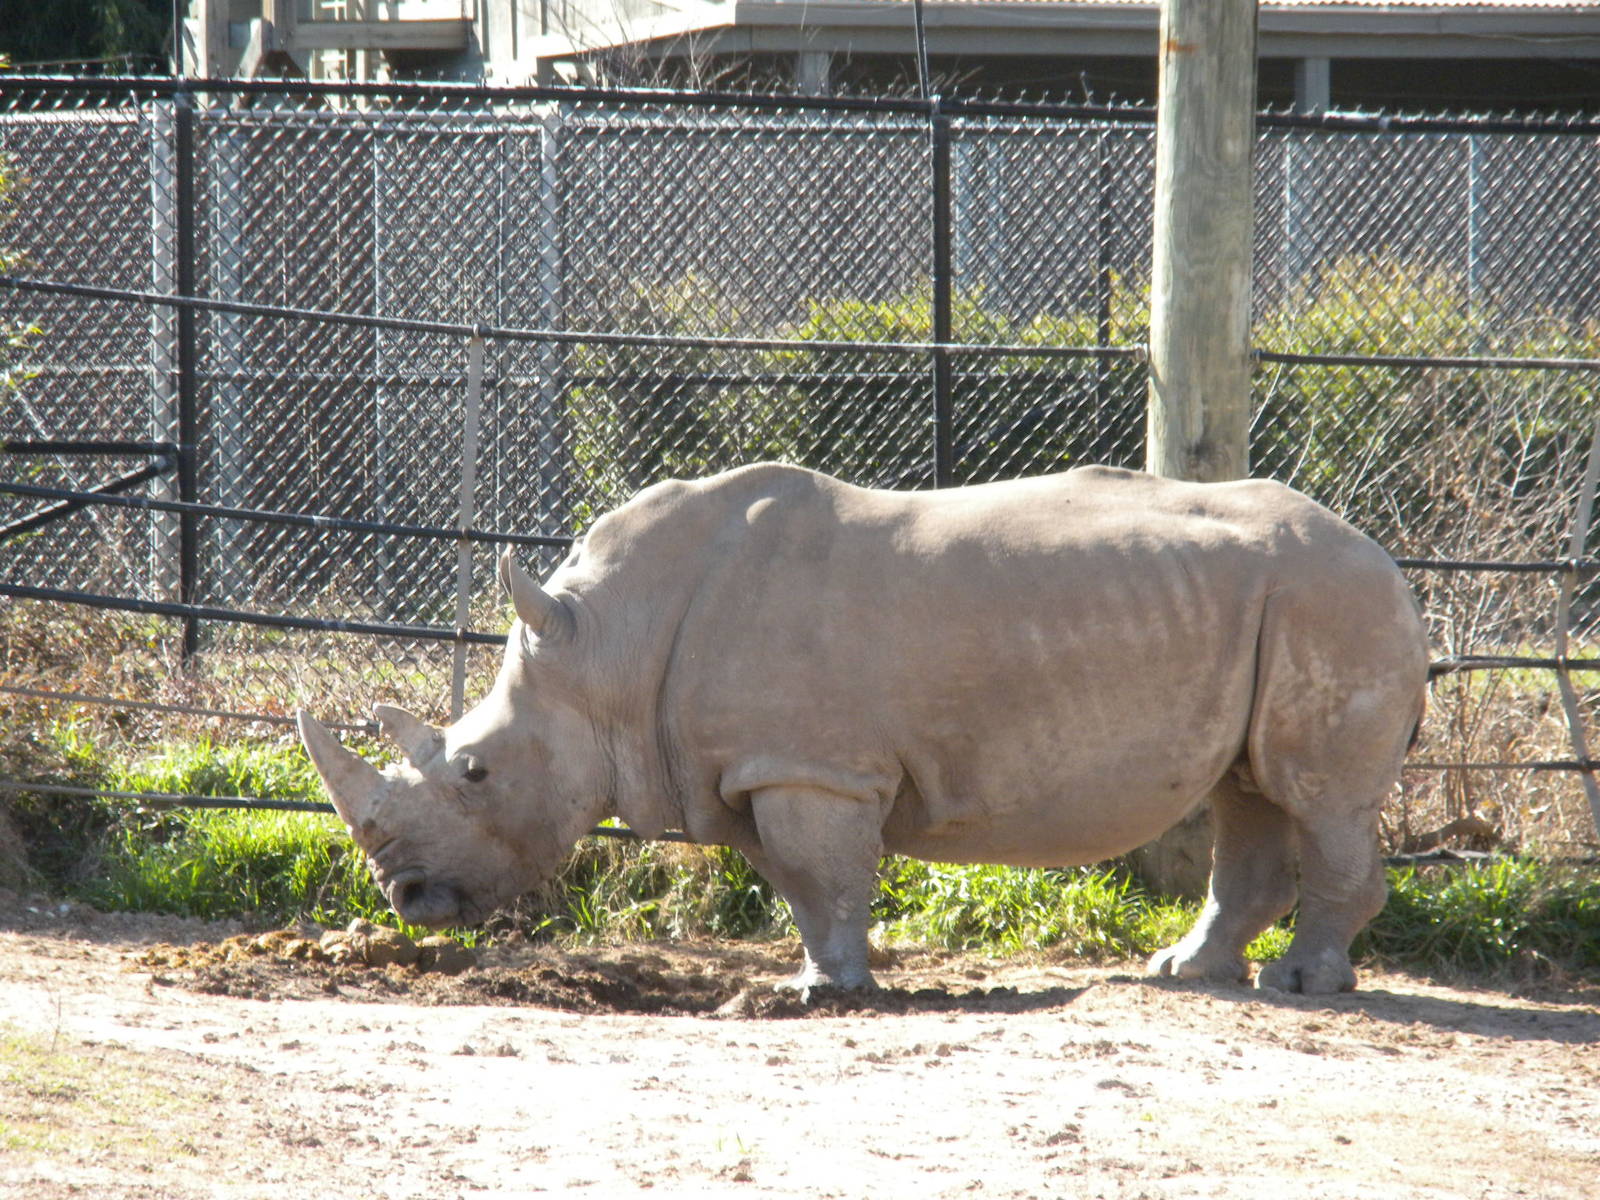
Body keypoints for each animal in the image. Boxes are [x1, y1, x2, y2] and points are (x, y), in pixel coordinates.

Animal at [297, 462, 1429, 995]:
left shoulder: (814, 767)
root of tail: (1392, 562)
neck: (605, 646)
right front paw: (814, 976)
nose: (405, 896)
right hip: (1281, 604)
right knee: (1250, 791)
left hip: (1331, 599)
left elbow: (822, 872)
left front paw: (827, 992)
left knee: (1316, 797)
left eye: (476, 772)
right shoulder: (760, 766)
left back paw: (1304, 985)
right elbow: (800, 883)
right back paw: (1187, 974)